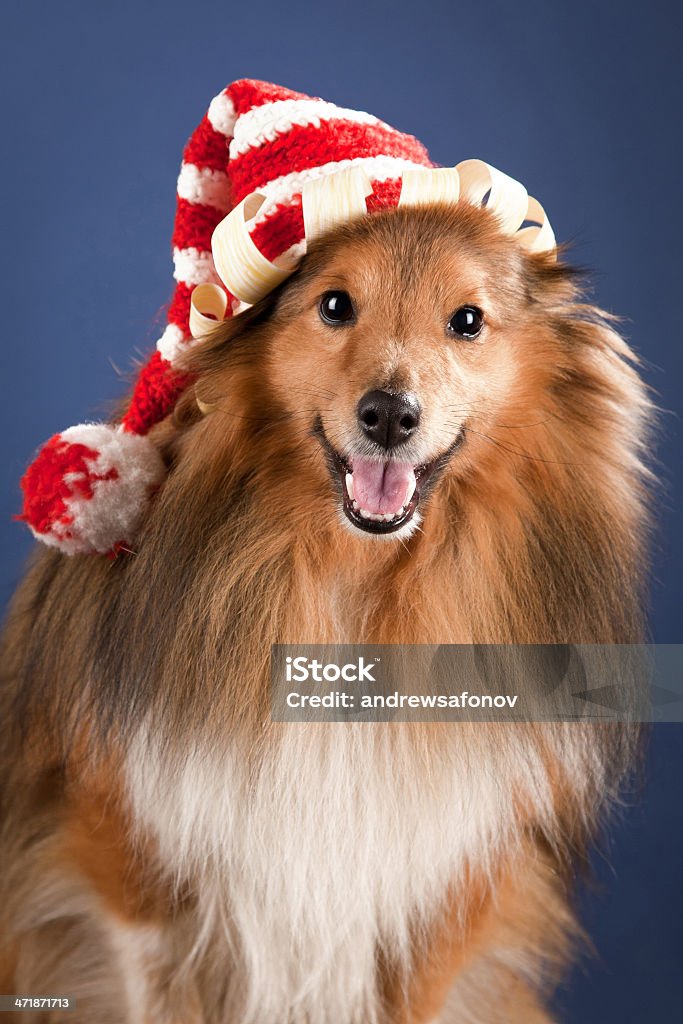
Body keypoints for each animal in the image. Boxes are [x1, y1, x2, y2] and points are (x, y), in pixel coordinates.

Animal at [0, 195, 651, 1019]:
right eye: (335, 305)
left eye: (467, 320)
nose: (389, 416)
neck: (353, 588)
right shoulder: (125, 868)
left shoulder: (444, 895)